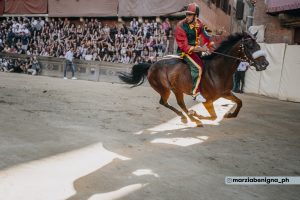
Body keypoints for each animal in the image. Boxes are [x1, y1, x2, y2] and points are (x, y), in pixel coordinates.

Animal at [119, 32, 270, 126]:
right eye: (250, 46)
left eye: (259, 46)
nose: (265, 64)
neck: (219, 71)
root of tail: (151, 65)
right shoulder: (208, 100)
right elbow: (213, 116)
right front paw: (197, 114)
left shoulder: (225, 93)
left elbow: (239, 102)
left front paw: (230, 115)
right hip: (167, 89)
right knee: (170, 103)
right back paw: (190, 117)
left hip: (175, 89)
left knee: (171, 103)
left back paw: (186, 116)